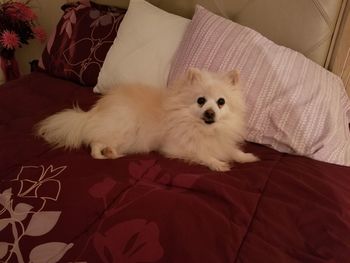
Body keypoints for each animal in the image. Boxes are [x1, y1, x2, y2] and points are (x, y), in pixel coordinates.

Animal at [37, 68, 258, 172]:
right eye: (201, 101)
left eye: (221, 102)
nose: (210, 113)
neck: (204, 129)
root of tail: (95, 111)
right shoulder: (176, 148)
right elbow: (202, 154)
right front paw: (218, 164)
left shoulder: (221, 142)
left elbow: (232, 151)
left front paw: (247, 157)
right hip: (123, 128)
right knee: (94, 142)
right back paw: (104, 155)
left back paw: (110, 152)